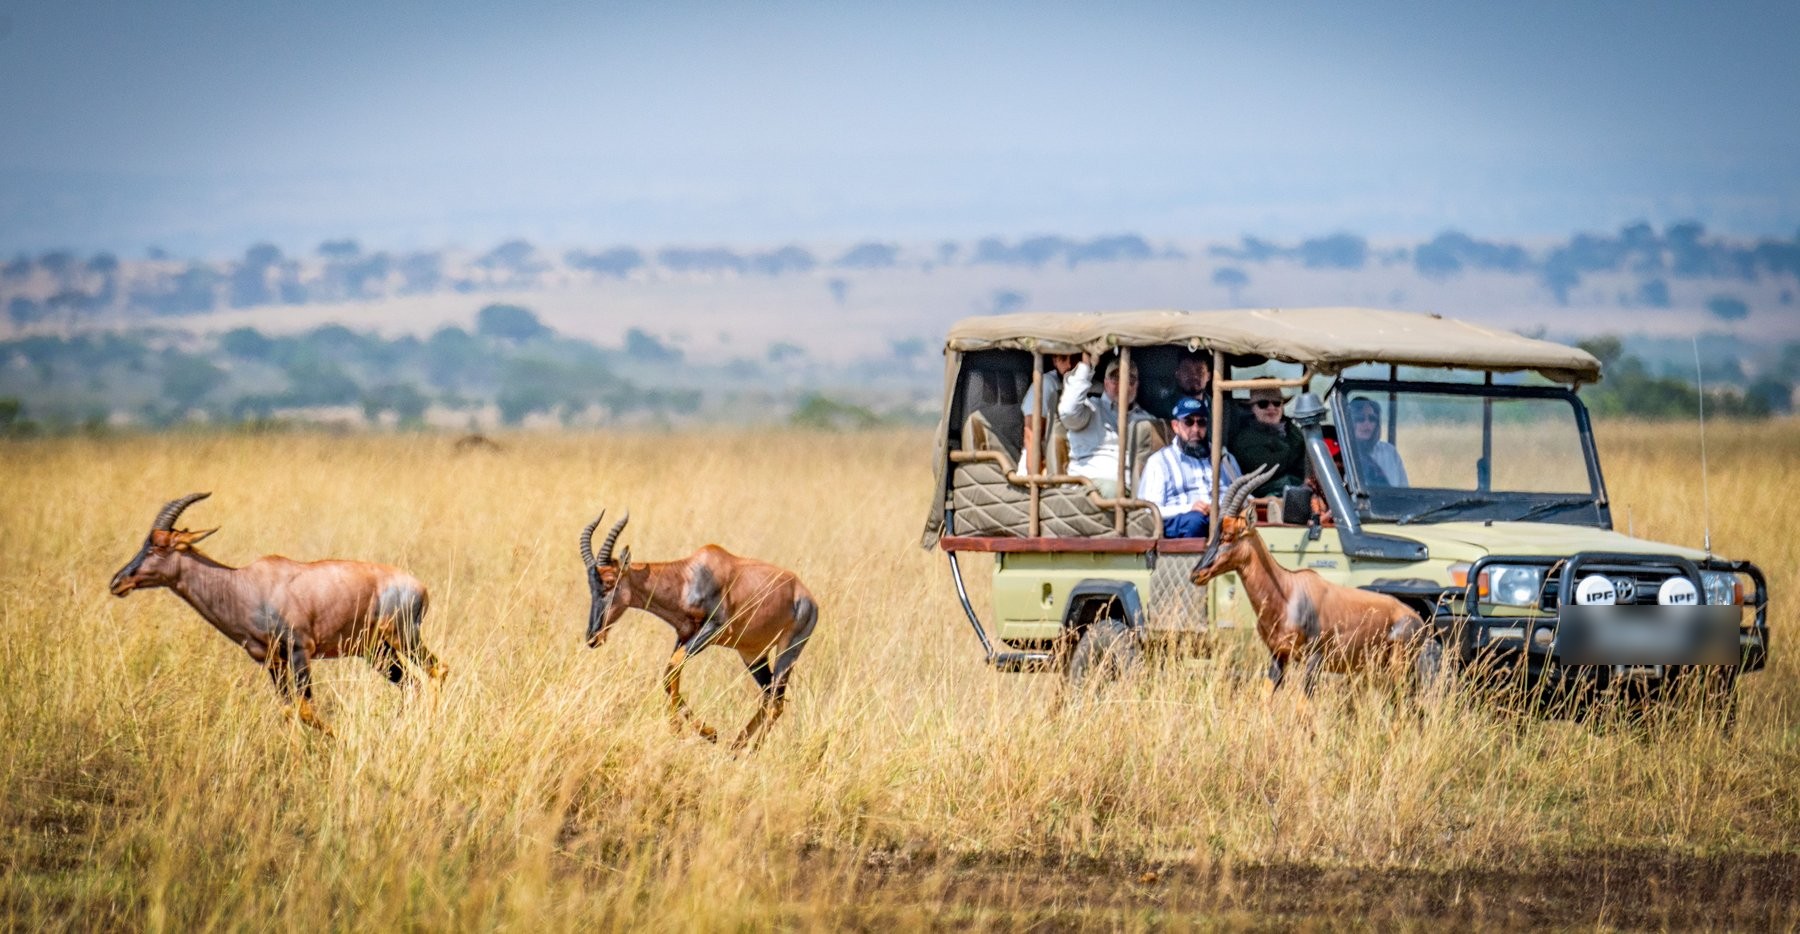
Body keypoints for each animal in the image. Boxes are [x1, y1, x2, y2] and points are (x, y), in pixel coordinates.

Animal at [108, 493, 447, 734]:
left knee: (437, 670)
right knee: (411, 683)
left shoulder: (299, 651)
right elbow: (289, 710)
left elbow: (306, 709)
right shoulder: (272, 660)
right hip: (376, 651)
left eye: (160, 546)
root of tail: (419, 586)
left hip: (404, 638)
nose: (117, 582)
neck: (245, 583)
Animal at [580, 509, 819, 751]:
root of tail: (807, 596)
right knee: (769, 696)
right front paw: (695, 731)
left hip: (789, 650)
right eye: (591, 585)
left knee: (777, 702)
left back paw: (752, 751)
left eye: (610, 582)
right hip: (752, 655)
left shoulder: (714, 628)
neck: (689, 577)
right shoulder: (684, 635)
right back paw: (735, 748)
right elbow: (669, 674)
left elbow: (672, 667)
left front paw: (697, 731)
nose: (593, 636)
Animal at [1190, 465, 1428, 694]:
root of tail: (1417, 619)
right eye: (1215, 533)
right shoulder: (1278, 656)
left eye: (1229, 535)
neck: (1287, 591)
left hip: (1400, 665)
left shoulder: (1314, 659)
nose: (1197, 574)